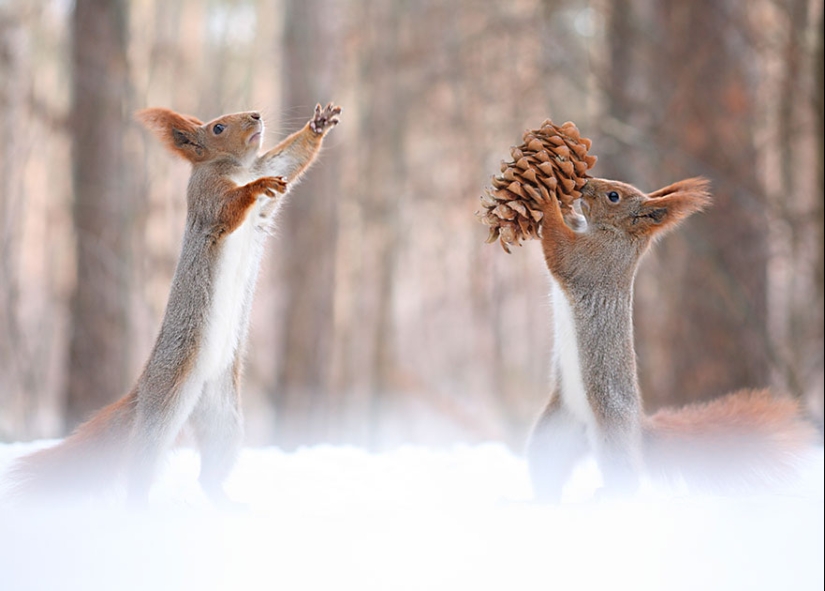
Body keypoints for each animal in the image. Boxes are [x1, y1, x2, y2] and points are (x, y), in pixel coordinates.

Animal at [5, 102, 342, 506]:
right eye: (217, 128)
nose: (256, 116)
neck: (238, 168)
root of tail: (145, 388)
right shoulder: (206, 197)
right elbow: (228, 208)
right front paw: (255, 188)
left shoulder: (269, 167)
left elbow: (290, 160)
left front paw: (318, 125)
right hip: (165, 405)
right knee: (142, 462)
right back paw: (140, 508)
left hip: (224, 418)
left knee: (210, 470)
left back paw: (225, 503)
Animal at [527, 176, 818, 501]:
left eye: (614, 196)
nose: (585, 183)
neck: (617, 235)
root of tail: (638, 431)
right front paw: (562, 204)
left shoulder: (593, 261)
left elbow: (561, 252)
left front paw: (547, 202)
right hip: (554, 435)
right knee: (546, 467)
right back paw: (540, 499)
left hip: (613, 428)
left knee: (625, 476)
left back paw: (607, 496)